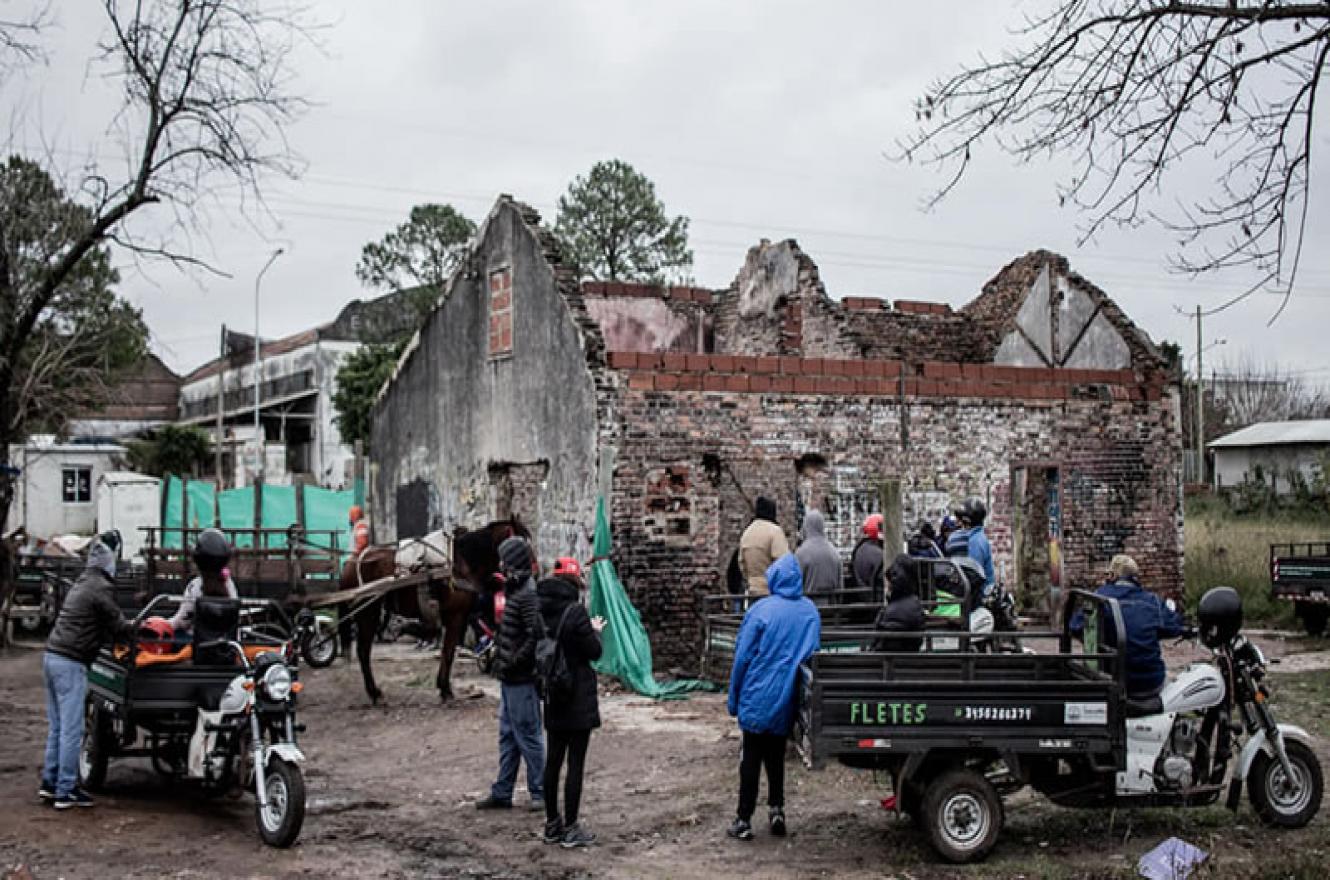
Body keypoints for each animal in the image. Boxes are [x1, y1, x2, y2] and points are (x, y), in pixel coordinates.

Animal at [340, 523, 526, 701]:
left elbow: (446, 650)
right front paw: (446, 690)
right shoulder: (456, 617)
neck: (460, 563)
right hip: (368, 613)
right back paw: (374, 693)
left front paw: (443, 686)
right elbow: (448, 652)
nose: (529, 573)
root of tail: (351, 562)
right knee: (363, 651)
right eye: (524, 544)